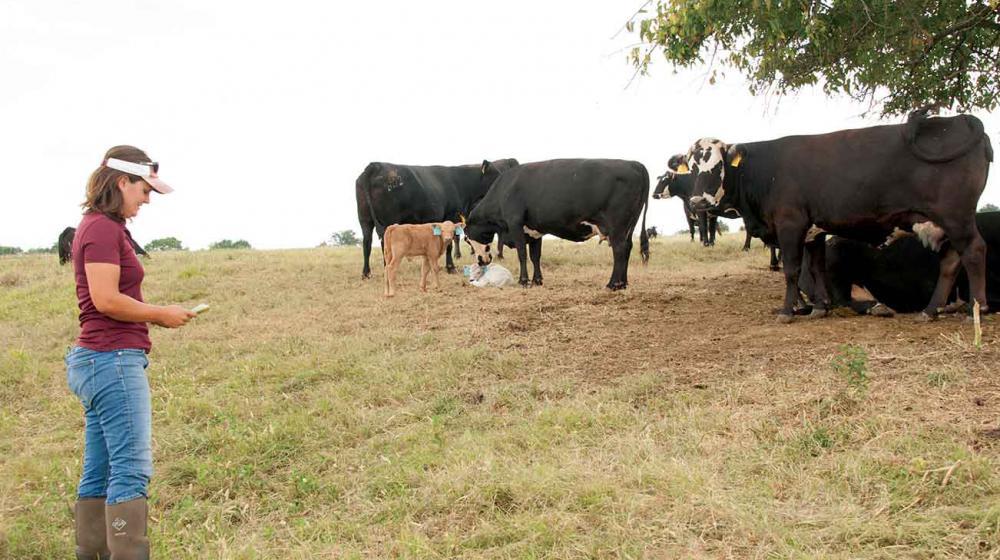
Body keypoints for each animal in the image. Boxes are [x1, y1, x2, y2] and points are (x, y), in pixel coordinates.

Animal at [460, 158, 648, 288]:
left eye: (466, 239)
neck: (504, 190)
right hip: (629, 226)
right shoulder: (535, 230)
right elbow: (535, 256)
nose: (482, 261)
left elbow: (522, 254)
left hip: (617, 226)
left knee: (619, 250)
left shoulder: (515, 224)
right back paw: (623, 283)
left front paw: (523, 281)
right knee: (628, 248)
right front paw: (537, 280)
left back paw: (613, 284)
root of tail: (635, 164)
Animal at [680, 110, 992, 322]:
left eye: (717, 166)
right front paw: (819, 308)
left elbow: (791, 269)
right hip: (945, 222)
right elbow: (817, 268)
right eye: (692, 168)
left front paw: (787, 311)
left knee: (974, 251)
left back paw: (976, 308)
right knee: (951, 262)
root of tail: (961, 120)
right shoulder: (813, 231)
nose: (697, 201)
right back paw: (930, 310)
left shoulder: (791, 224)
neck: (765, 170)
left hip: (957, 217)